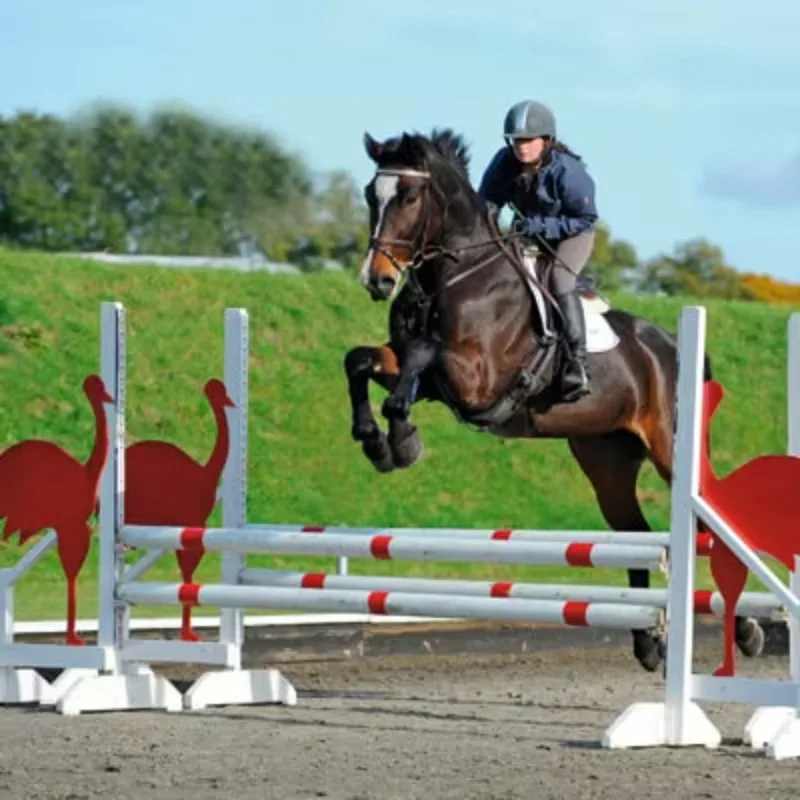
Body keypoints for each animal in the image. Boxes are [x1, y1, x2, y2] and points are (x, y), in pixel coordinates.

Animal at [342, 127, 764, 673]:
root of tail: (671, 344)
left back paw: (746, 630)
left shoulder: (477, 379)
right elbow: (361, 361)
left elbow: (420, 354)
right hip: (606, 460)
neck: (457, 276)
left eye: (410, 196)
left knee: (705, 527)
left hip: (670, 450)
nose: (377, 281)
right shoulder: (424, 371)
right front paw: (380, 442)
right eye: (371, 196)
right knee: (635, 533)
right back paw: (649, 641)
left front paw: (400, 437)